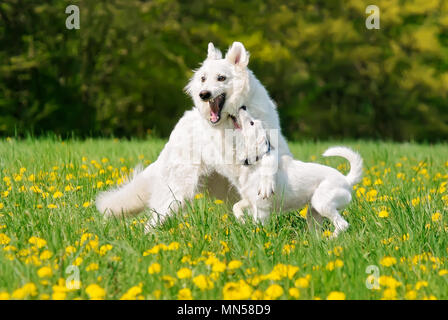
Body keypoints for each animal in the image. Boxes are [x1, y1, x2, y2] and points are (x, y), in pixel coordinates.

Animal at [96, 42, 292, 232]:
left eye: (221, 78)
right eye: (203, 78)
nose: (203, 94)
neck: (233, 117)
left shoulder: (275, 147)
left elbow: (272, 158)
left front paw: (266, 184)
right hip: (177, 194)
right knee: (151, 221)